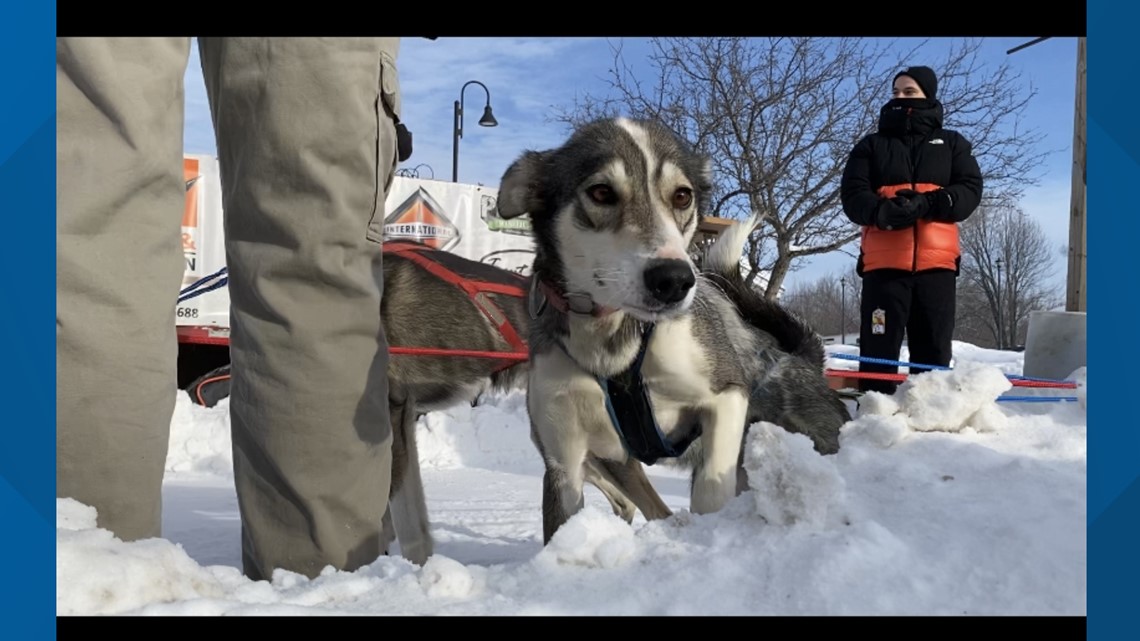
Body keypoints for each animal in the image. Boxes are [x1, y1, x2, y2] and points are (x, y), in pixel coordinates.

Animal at [494, 117, 852, 540]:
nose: (674, 279)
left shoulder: (727, 396)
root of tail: (803, 360)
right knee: (644, 505)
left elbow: (712, 491)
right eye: (601, 192)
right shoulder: (563, 461)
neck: (613, 348)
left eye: (682, 196)